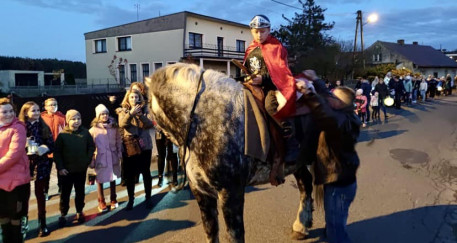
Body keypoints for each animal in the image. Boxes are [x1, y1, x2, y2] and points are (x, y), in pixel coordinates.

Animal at [145, 63, 314, 243]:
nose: (159, 141)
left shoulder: (231, 192)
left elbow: (235, 234)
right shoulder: (201, 192)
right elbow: (210, 230)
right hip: (298, 163)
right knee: (305, 183)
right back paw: (301, 226)